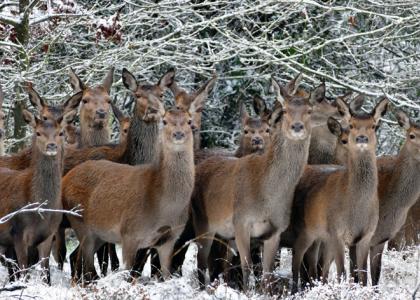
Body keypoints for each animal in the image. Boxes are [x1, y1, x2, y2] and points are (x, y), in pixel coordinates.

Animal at [0, 97, 80, 284]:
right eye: (38, 133)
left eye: (60, 133)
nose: (51, 146)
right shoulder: (18, 232)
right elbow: (23, 271)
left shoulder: (49, 234)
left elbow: (45, 273)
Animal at [62, 104, 197, 282]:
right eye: (165, 121)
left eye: (189, 121)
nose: (178, 134)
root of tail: (65, 180)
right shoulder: (129, 233)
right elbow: (128, 275)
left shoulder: (170, 239)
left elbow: (166, 275)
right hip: (79, 221)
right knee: (88, 265)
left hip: (99, 233)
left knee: (76, 257)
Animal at [192, 75, 316, 290]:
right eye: (285, 111)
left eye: (309, 110)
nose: (297, 126)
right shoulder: (241, 222)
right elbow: (248, 267)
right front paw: (248, 291)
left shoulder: (275, 231)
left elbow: (267, 274)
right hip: (203, 223)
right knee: (201, 262)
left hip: (226, 235)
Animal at [290, 98, 388, 292]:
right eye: (351, 124)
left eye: (373, 125)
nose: (361, 138)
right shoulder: (336, 232)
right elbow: (342, 272)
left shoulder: (365, 236)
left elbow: (361, 275)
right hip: (304, 229)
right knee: (297, 257)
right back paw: (295, 289)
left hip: (320, 237)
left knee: (315, 264)